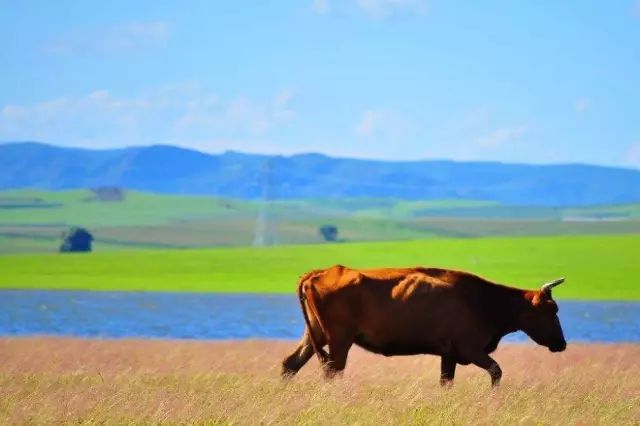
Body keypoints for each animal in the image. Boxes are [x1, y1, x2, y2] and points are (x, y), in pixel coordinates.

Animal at [282, 264, 564, 388]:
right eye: (552, 310)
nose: (562, 344)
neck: (483, 300)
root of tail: (320, 272)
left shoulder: (449, 355)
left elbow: (446, 382)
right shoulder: (471, 349)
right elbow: (496, 371)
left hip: (315, 336)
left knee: (291, 364)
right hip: (339, 341)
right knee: (333, 371)